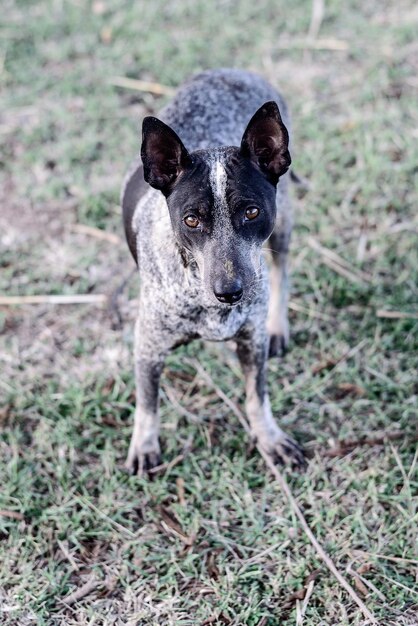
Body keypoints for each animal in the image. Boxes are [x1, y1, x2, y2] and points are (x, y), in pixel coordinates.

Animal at [120, 68, 304, 472]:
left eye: (251, 212)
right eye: (191, 220)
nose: (230, 291)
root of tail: (233, 71)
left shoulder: (252, 340)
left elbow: (257, 397)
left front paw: (269, 438)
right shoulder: (148, 345)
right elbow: (147, 403)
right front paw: (144, 444)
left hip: (284, 226)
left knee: (282, 271)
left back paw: (278, 324)